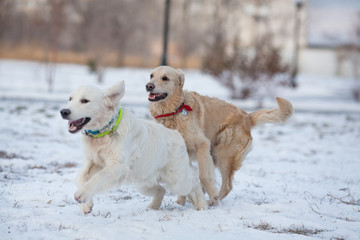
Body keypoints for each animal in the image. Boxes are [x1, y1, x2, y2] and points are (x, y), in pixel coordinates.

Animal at [60, 81, 207, 214]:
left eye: (85, 101)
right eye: (70, 98)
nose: (63, 111)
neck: (105, 131)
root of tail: (177, 135)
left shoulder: (118, 166)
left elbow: (100, 176)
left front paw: (82, 194)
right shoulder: (93, 161)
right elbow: (80, 177)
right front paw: (86, 204)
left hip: (177, 181)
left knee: (194, 180)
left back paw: (201, 204)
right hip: (143, 182)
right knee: (161, 190)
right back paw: (152, 208)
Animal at [146, 66, 292, 206]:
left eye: (165, 78)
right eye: (151, 75)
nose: (148, 86)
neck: (174, 111)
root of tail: (247, 116)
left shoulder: (202, 144)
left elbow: (204, 175)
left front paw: (211, 197)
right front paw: (181, 201)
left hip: (222, 154)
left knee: (227, 186)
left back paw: (214, 200)